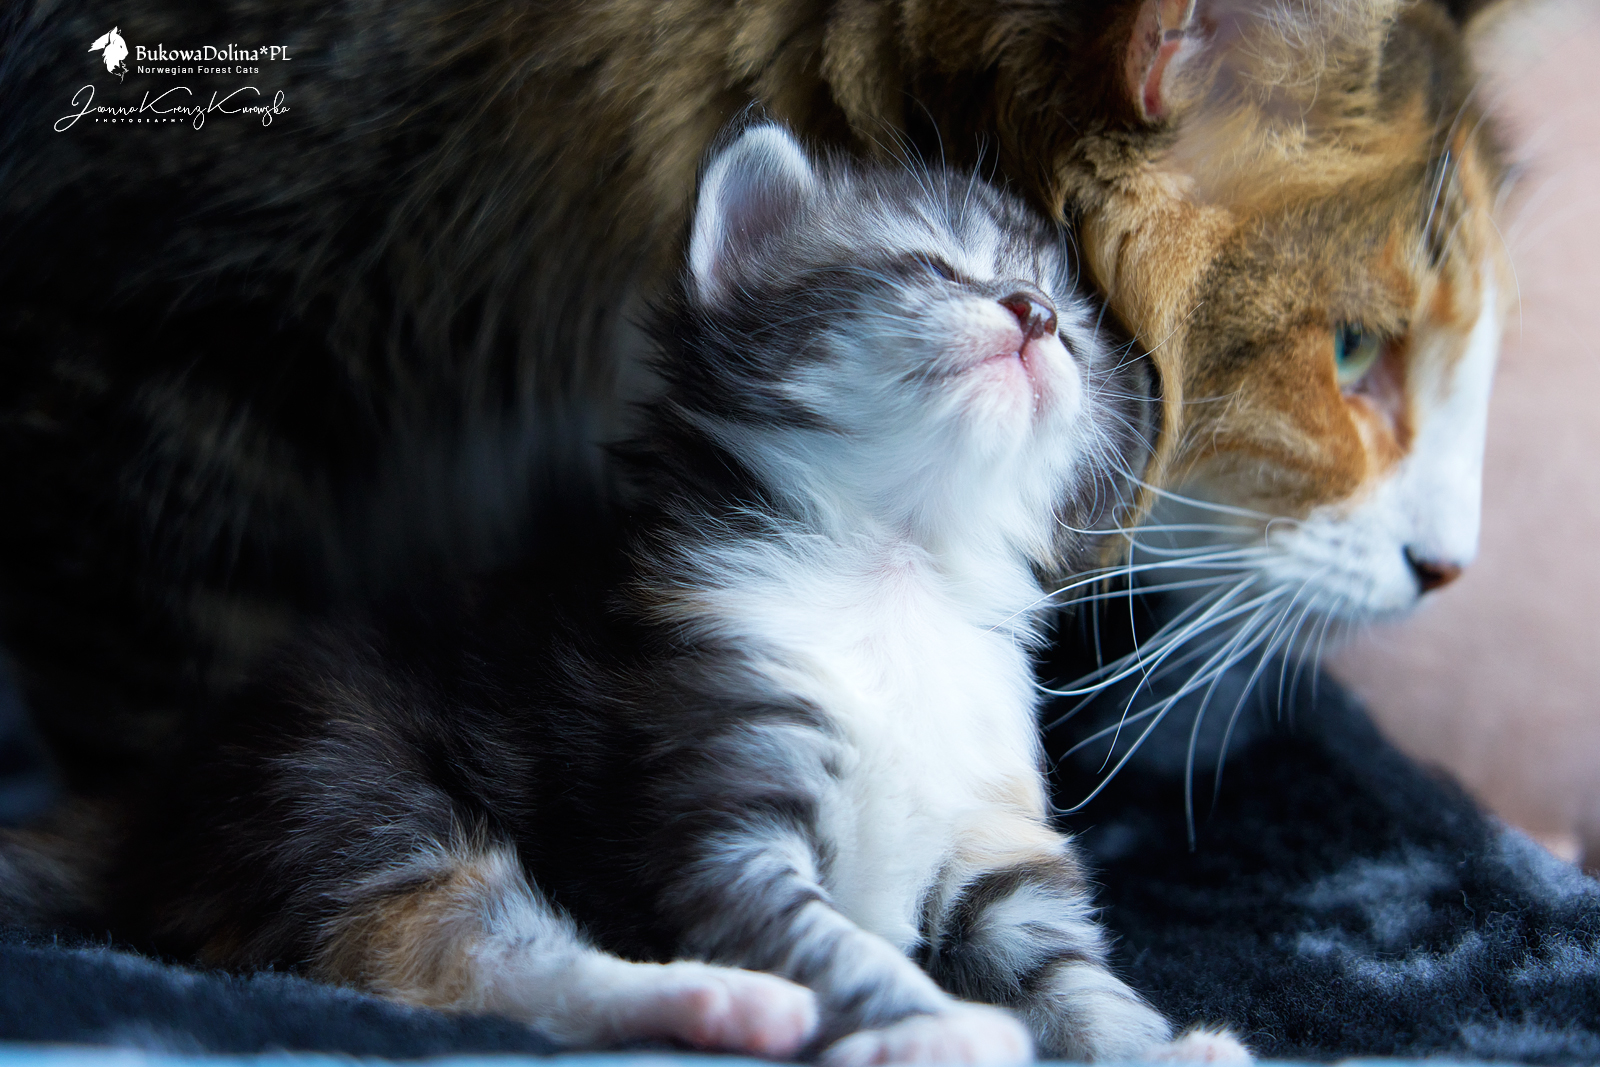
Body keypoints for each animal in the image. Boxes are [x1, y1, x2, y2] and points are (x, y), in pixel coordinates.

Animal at [73, 125, 1255, 1065]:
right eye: (932, 263)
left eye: (1079, 328)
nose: (1034, 314)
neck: (897, 572)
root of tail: (147, 823)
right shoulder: (714, 786)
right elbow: (827, 945)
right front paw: (931, 1018)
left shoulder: (996, 846)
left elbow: (1071, 977)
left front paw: (1155, 1047)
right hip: (347, 794)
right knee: (463, 957)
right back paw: (733, 1005)